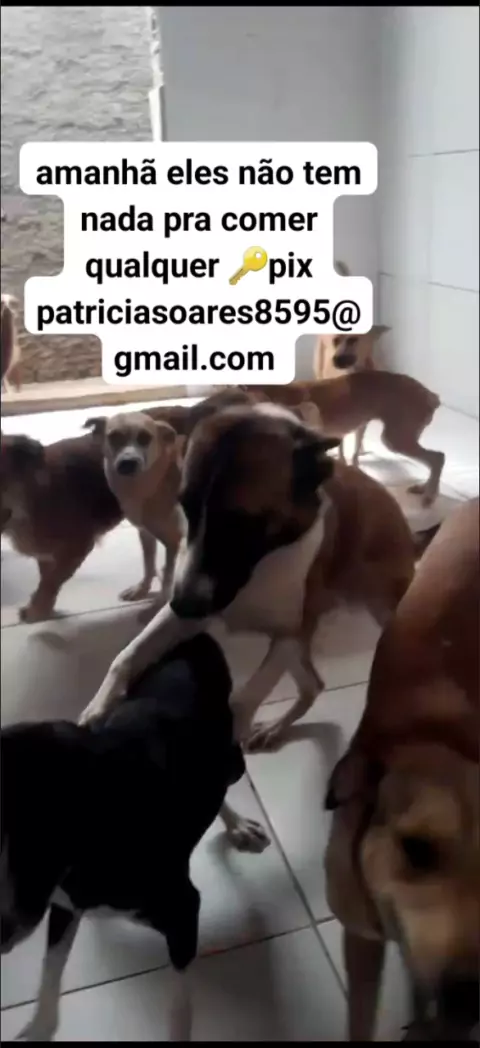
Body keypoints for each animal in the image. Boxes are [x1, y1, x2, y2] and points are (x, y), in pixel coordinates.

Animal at [0, 633, 250, 1042]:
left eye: (43, 826)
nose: (2, 933)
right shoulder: (65, 905)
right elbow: (51, 971)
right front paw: (39, 1027)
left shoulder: (183, 911)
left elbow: (180, 1011)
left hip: (229, 753)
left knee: (228, 773)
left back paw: (237, 823)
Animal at [78, 403, 420, 760]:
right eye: (185, 507)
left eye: (240, 523)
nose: (183, 605)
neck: (262, 566)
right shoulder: (190, 610)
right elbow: (127, 655)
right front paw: (100, 706)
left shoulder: (291, 633)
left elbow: (244, 697)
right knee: (313, 685)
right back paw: (276, 728)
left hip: (381, 611)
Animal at [240, 371, 445, 505]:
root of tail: (431, 396)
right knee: (434, 458)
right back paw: (424, 489)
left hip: (395, 438)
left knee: (437, 457)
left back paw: (429, 495)